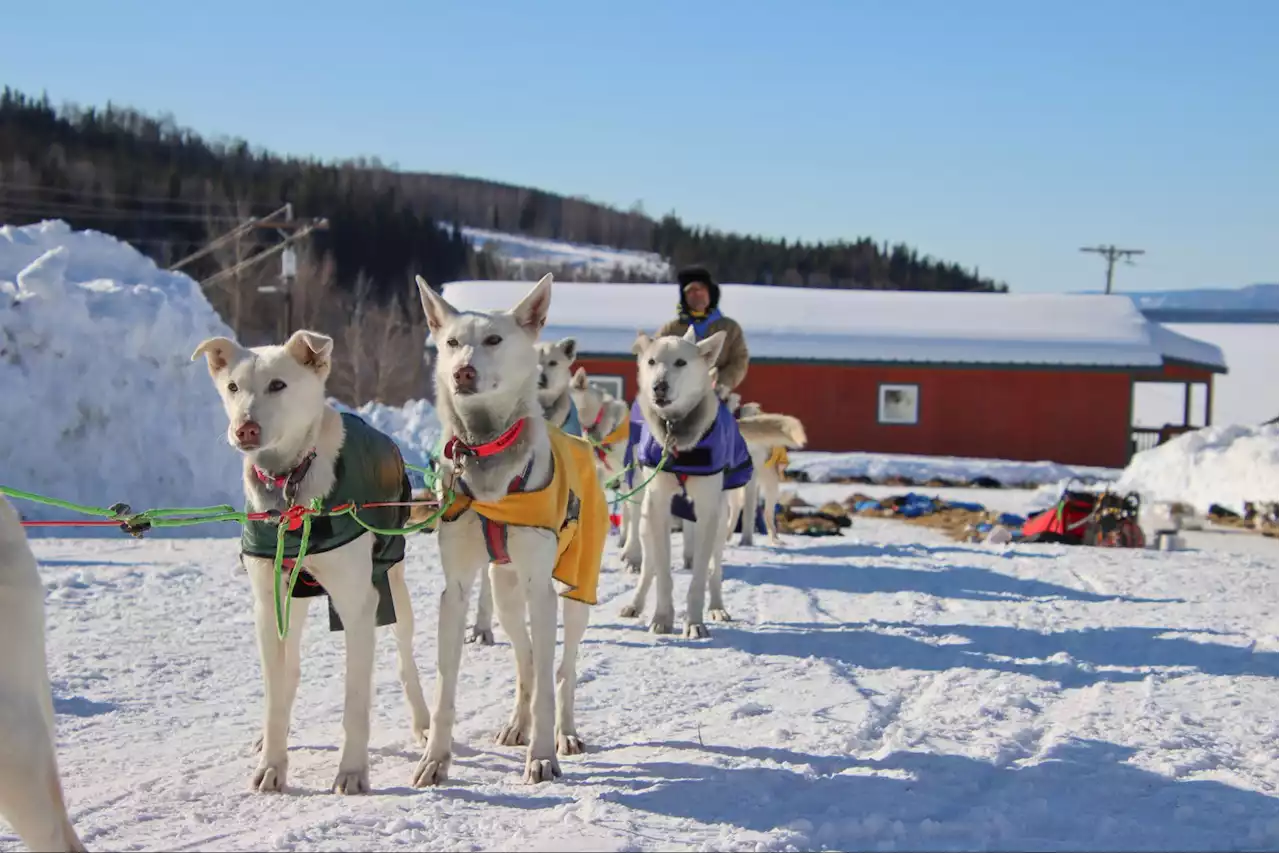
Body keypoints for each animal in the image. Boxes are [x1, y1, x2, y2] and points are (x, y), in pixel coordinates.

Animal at [189, 330, 430, 788]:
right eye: (233, 387)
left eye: (278, 385)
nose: (244, 428)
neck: (290, 487)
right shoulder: (268, 605)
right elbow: (274, 692)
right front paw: (272, 764)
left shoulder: (358, 605)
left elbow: (355, 700)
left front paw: (352, 771)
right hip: (292, 600)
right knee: (290, 670)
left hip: (395, 587)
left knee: (407, 657)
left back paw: (425, 723)